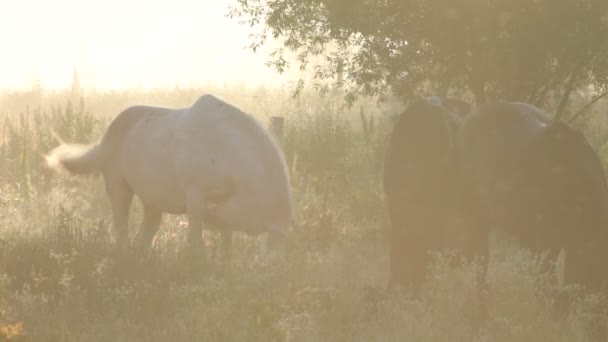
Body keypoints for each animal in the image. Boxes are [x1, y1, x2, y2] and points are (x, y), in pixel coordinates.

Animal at [46, 95, 294, 252]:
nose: (211, 218)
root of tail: (105, 137)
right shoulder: (195, 192)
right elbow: (196, 237)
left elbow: (226, 238)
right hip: (117, 184)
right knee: (121, 224)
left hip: (153, 201)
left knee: (145, 235)